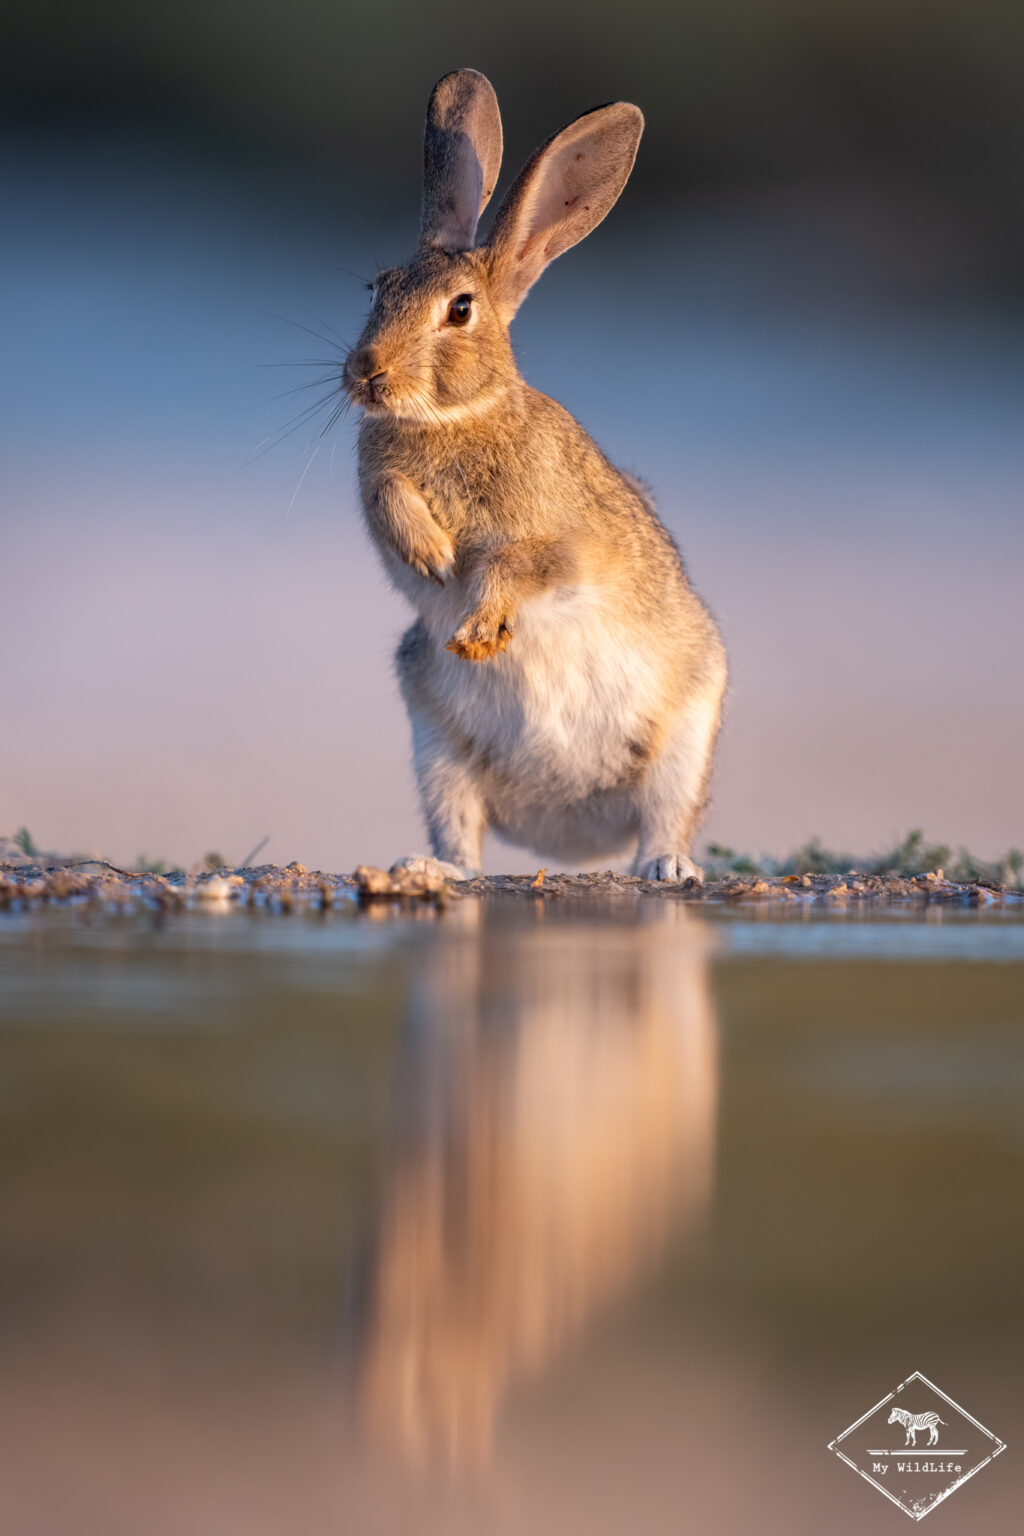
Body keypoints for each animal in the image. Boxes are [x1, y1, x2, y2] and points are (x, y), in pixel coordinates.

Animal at [344, 69, 727, 881]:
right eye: (376, 290)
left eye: (460, 310)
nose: (366, 373)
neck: (453, 417)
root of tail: (567, 837)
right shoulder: (381, 485)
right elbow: (390, 496)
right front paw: (432, 554)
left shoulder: (566, 542)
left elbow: (520, 565)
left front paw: (479, 622)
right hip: (437, 748)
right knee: (463, 842)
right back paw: (431, 871)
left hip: (687, 730)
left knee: (664, 821)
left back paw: (666, 869)